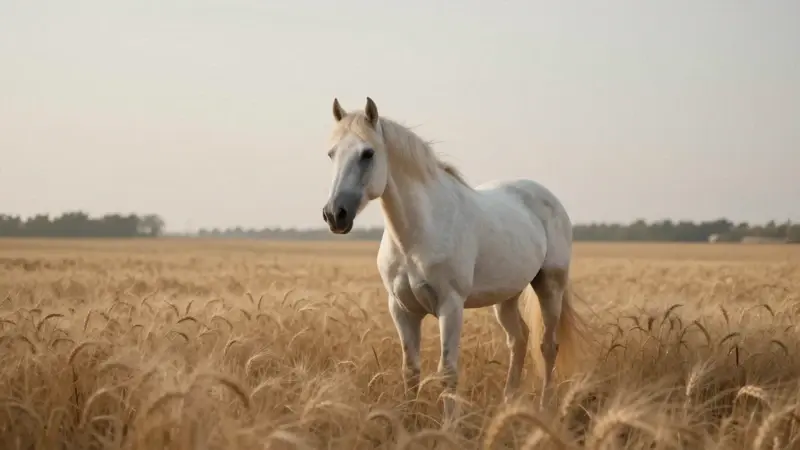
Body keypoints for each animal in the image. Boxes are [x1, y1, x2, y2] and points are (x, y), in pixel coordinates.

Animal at [321, 97, 588, 422]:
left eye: (367, 153)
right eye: (331, 153)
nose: (335, 215)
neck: (417, 234)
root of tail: (549, 199)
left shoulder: (450, 306)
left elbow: (447, 372)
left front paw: (449, 426)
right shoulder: (401, 309)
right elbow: (411, 371)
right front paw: (409, 423)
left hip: (550, 286)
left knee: (547, 346)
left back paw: (544, 410)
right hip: (507, 296)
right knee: (519, 339)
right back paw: (508, 405)